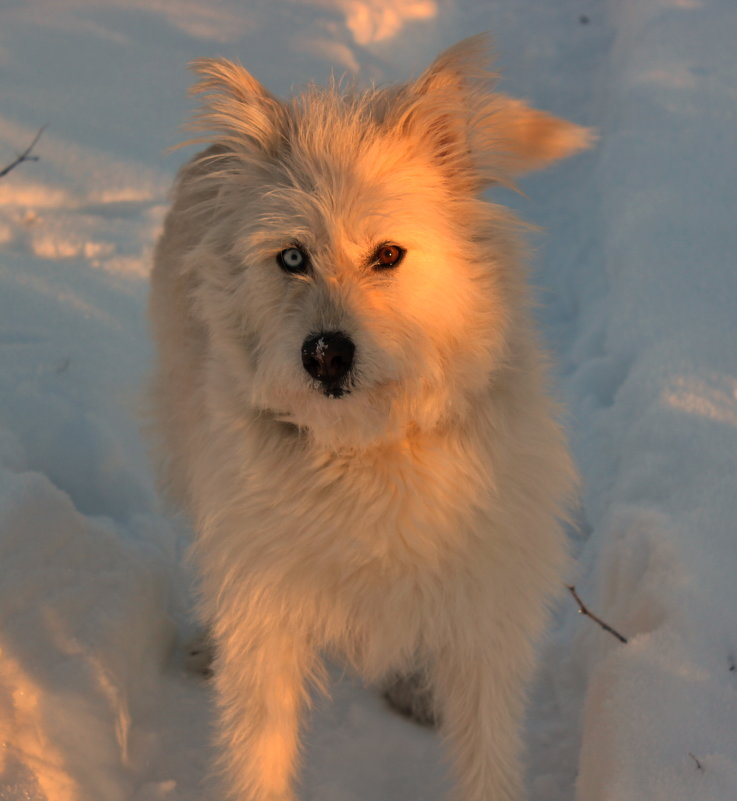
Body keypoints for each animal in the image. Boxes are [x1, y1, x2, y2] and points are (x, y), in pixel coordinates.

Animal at [151, 36, 592, 800]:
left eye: (388, 254)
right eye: (291, 256)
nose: (325, 354)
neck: (371, 449)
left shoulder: (485, 619)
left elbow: (485, 751)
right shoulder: (267, 616)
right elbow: (256, 748)